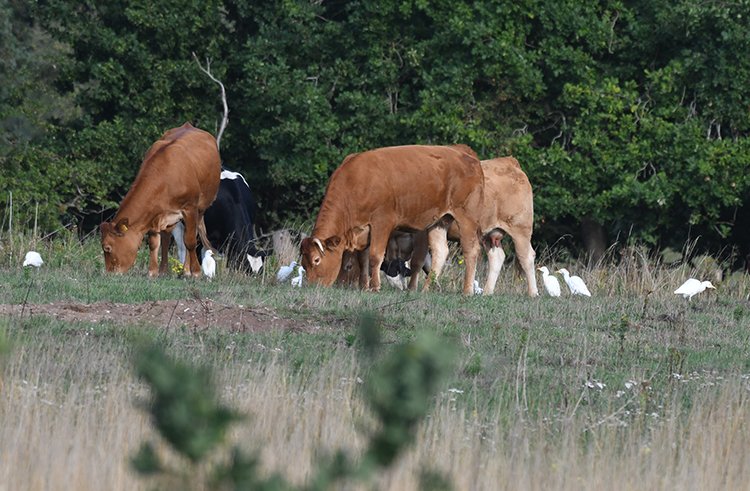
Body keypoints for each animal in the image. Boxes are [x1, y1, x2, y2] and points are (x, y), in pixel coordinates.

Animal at [100, 123, 220, 276]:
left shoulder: (190, 208)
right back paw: (164, 270)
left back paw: (187, 270)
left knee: (191, 236)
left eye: (107, 248)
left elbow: (190, 241)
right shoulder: (154, 213)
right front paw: (153, 272)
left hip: (201, 208)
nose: (109, 273)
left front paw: (196, 272)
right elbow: (154, 243)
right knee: (166, 237)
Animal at [300, 144, 484, 295]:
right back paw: (425, 289)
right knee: (440, 251)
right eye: (303, 263)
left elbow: (375, 256)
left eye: (316, 260)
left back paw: (467, 291)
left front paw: (375, 287)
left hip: (467, 218)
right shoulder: (363, 230)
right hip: (440, 221)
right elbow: (363, 259)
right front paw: (364, 286)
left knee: (471, 250)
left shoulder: (382, 222)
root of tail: (469, 157)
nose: (311, 286)